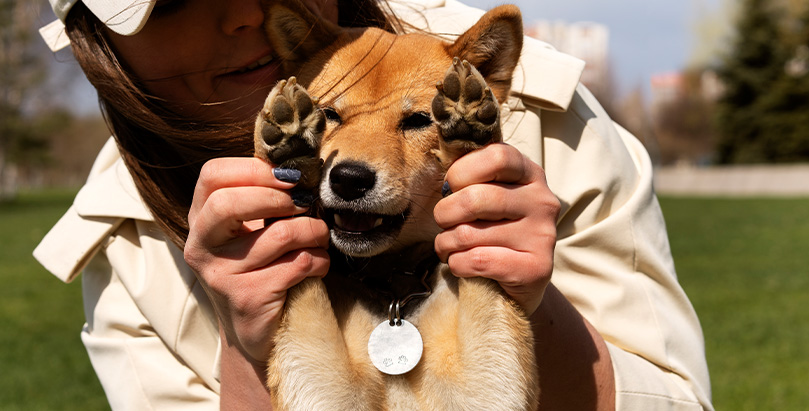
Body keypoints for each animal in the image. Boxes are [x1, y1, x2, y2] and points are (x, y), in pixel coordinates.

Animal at [251, 1, 536, 410]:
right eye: (328, 115)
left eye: (418, 120)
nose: (348, 178)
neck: (394, 292)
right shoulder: (323, 387)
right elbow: (304, 285)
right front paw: (290, 146)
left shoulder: (487, 387)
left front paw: (470, 136)